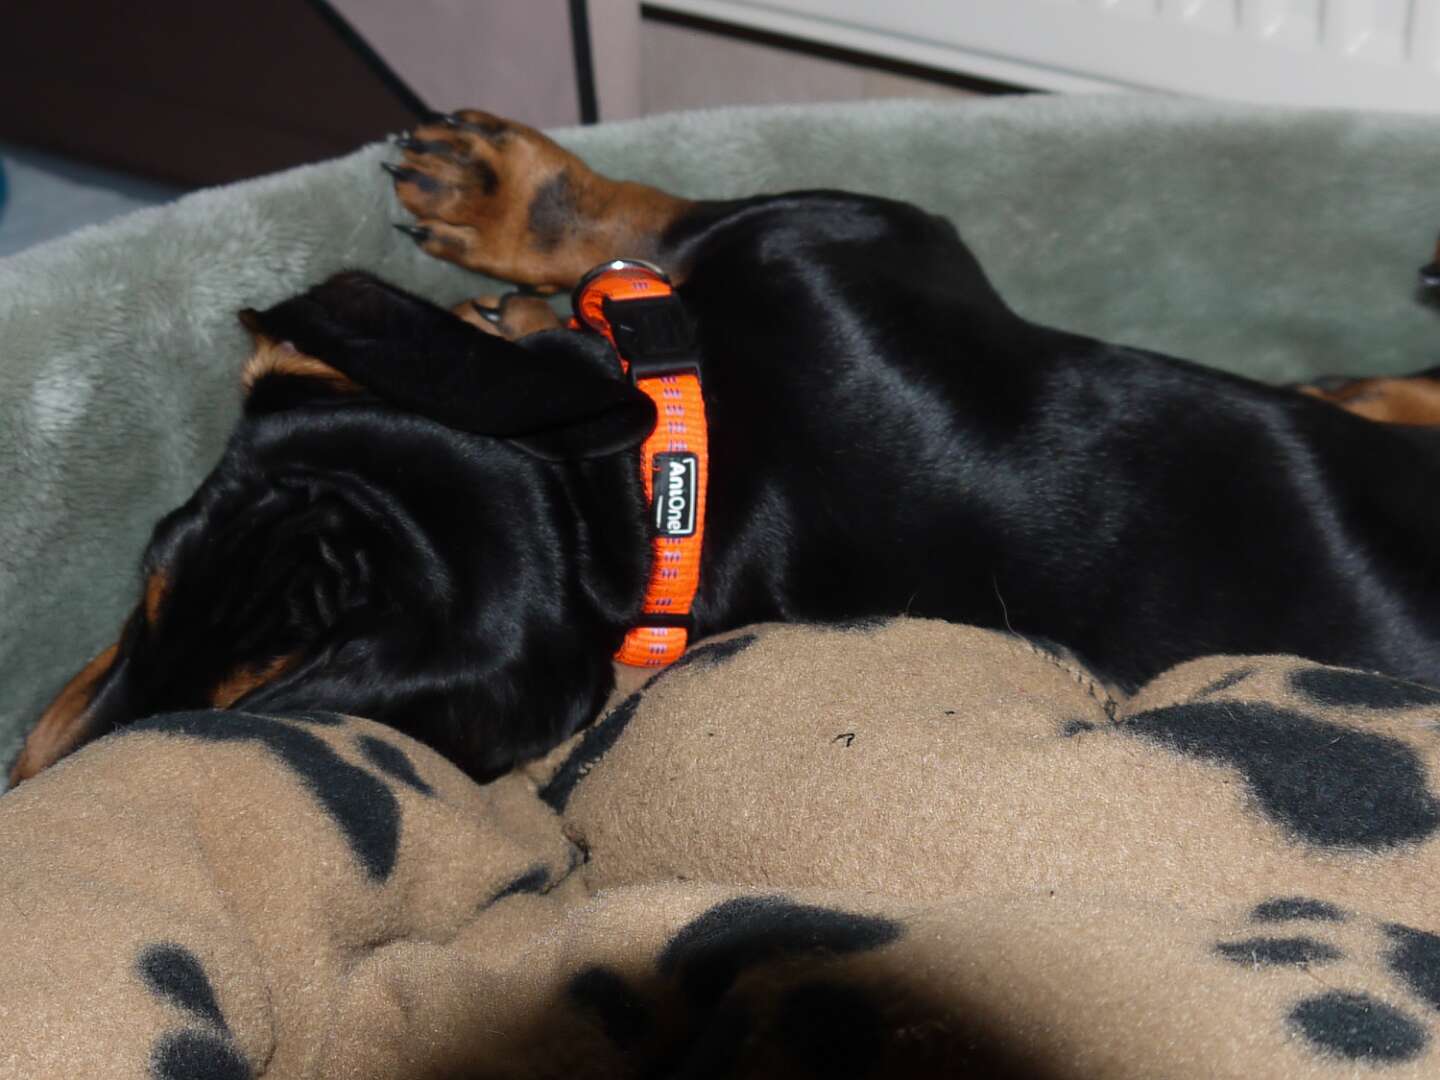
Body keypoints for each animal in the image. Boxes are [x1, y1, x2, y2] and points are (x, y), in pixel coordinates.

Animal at [12, 111, 1440, 786]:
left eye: (135, 602)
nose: (28, 778)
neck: (640, 492)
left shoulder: (847, 225)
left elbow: (647, 216)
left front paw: (506, 204)